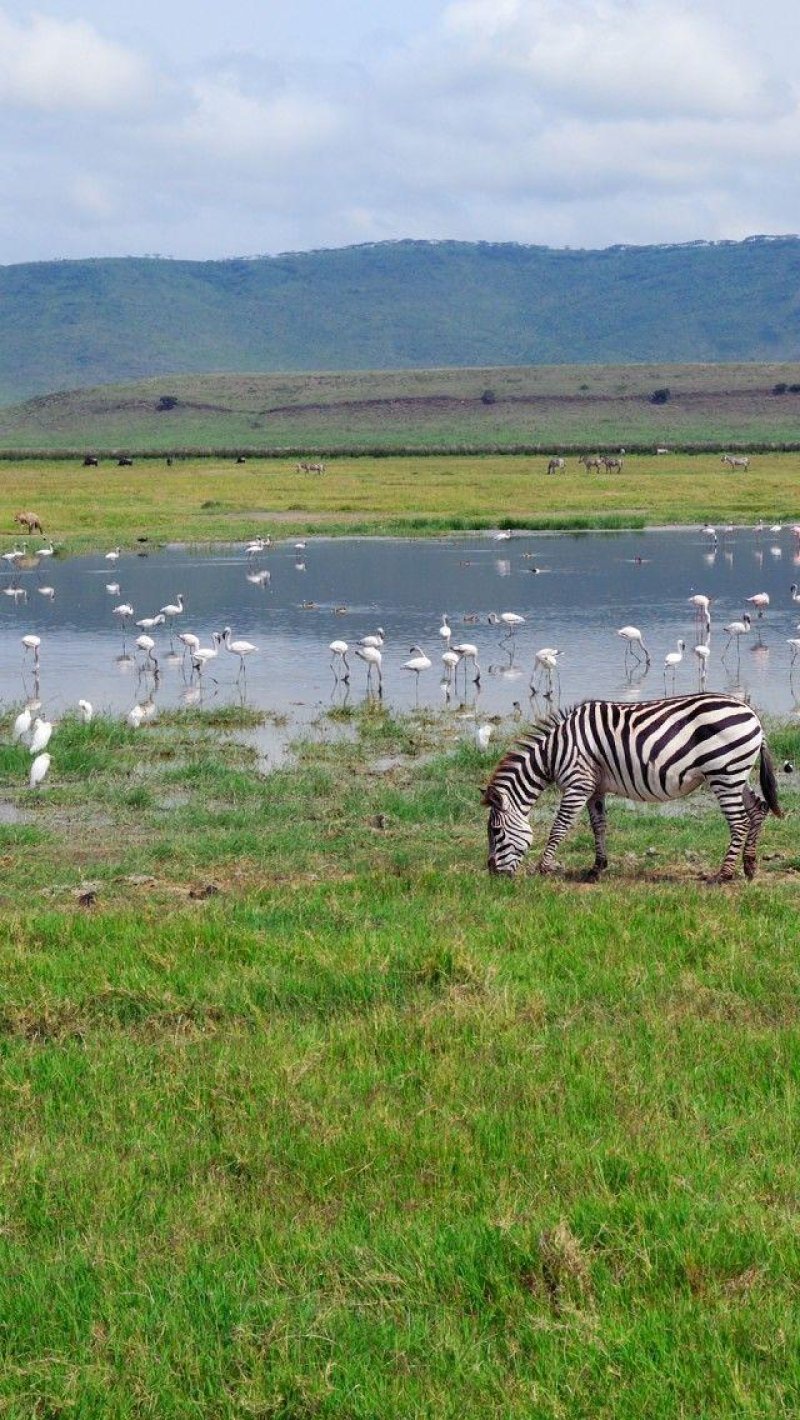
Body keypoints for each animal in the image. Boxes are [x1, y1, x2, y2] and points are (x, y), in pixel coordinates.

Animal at [483, 692, 784, 880]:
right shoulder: (595, 788)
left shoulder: (578, 783)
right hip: (734, 774)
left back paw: (724, 875)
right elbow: (599, 826)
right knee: (758, 808)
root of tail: (752, 714)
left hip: (724, 774)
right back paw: (749, 866)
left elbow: (560, 827)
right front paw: (597, 868)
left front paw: (543, 868)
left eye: (496, 832)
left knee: (739, 822)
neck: (555, 752)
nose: (493, 875)